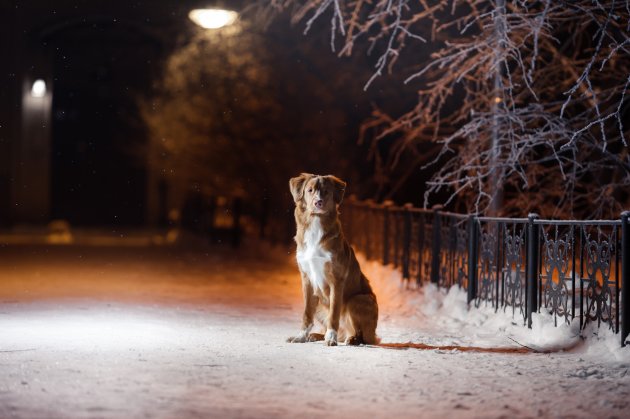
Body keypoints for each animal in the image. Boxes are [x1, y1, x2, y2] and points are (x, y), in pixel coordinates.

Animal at [288, 172, 380, 346]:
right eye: (310, 190)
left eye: (326, 192)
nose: (318, 202)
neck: (316, 224)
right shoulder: (307, 279)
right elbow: (306, 314)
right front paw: (301, 336)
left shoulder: (336, 280)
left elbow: (334, 313)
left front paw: (331, 338)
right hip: (319, 302)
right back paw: (315, 335)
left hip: (358, 299)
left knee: (363, 336)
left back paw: (351, 339)